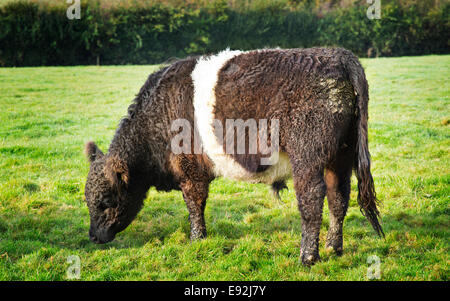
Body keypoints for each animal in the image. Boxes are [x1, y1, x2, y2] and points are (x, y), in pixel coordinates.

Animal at [82, 47, 382, 264]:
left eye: (106, 201)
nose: (93, 237)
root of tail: (335, 54)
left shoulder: (190, 170)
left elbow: (195, 205)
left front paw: (196, 240)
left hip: (308, 158)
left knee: (312, 200)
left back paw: (307, 257)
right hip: (340, 157)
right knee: (338, 197)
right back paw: (333, 247)